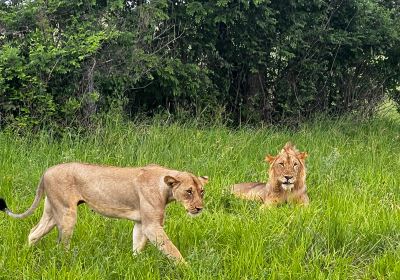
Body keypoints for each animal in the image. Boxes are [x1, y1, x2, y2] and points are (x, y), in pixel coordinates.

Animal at [0, 163, 206, 264]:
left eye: (202, 191)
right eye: (189, 191)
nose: (199, 208)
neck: (165, 188)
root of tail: (46, 171)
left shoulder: (141, 223)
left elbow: (137, 246)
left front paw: (135, 264)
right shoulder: (152, 225)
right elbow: (172, 249)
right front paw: (187, 268)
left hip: (52, 211)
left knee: (33, 233)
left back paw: (25, 255)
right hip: (66, 213)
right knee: (61, 245)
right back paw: (66, 262)